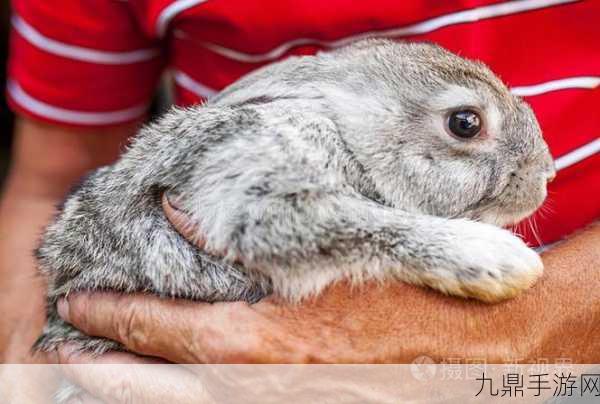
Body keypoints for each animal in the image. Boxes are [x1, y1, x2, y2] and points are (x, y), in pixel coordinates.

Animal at [35, 40, 556, 356]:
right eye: (465, 123)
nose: (545, 173)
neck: (349, 138)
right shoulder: (250, 186)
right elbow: (365, 223)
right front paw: (501, 261)